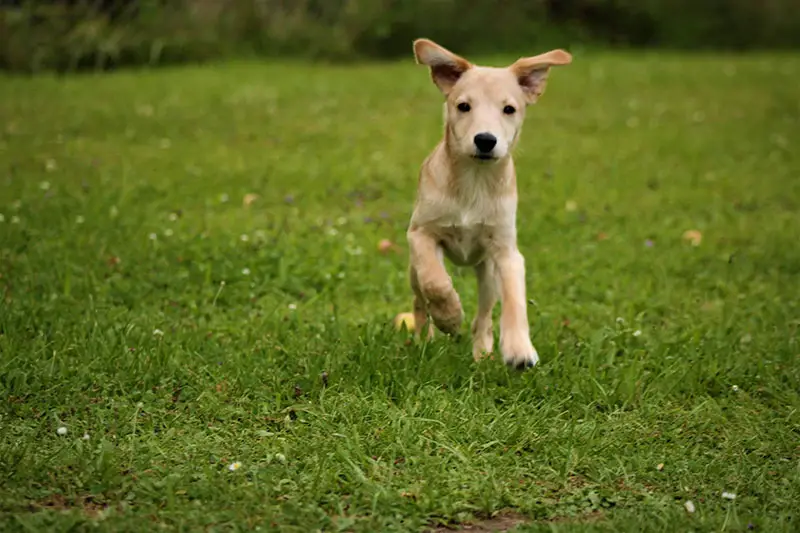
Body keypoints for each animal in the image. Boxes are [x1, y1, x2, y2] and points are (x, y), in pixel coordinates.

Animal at [406, 39, 568, 368]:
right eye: (463, 106)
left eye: (509, 109)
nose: (485, 140)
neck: (475, 182)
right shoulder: (420, 234)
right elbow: (436, 283)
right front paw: (449, 317)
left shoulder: (506, 252)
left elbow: (515, 300)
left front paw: (519, 350)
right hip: (413, 269)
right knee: (420, 300)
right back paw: (425, 338)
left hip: (487, 273)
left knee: (483, 317)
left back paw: (482, 353)